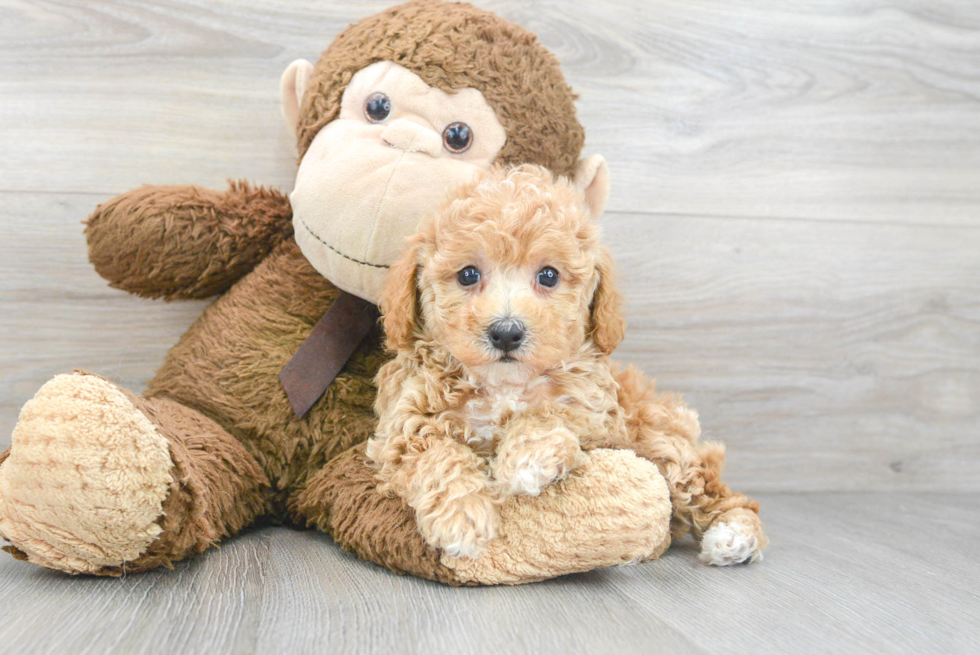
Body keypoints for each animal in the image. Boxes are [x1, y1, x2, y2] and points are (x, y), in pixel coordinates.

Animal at [364, 165, 768, 564]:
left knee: (709, 486)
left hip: (659, 439)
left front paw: (526, 459)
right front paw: (463, 517)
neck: (505, 385)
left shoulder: (600, 418)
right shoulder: (401, 428)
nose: (506, 333)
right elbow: (436, 453)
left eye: (548, 275)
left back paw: (734, 534)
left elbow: (549, 412)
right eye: (467, 274)